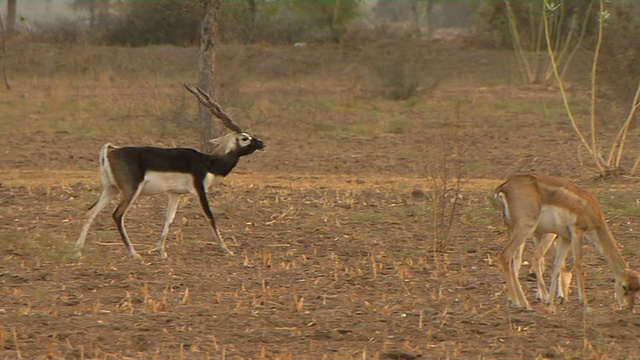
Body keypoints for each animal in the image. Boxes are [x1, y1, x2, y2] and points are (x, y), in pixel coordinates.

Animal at [75, 84, 264, 258]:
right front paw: (226, 249)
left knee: (90, 212)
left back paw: (78, 251)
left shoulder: (175, 193)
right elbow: (209, 216)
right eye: (244, 138)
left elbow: (169, 218)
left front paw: (161, 251)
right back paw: (134, 253)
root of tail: (111, 150)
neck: (208, 162)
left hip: (111, 189)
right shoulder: (199, 190)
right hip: (130, 190)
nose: (262, 143)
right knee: (117, 215)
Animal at [496, 174, 640, 310]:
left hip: (514, 230)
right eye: (624, 286)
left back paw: (519, 301)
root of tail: (503, 187)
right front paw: (585, 304)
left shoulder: (565, 238)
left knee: (515, 262)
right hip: (525, 229)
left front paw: (550, 304)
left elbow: (557, 265)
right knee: (506, 256)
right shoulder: (576, 231)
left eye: (637, 288)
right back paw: (523, 305)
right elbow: (578, 263)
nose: (628, 308)